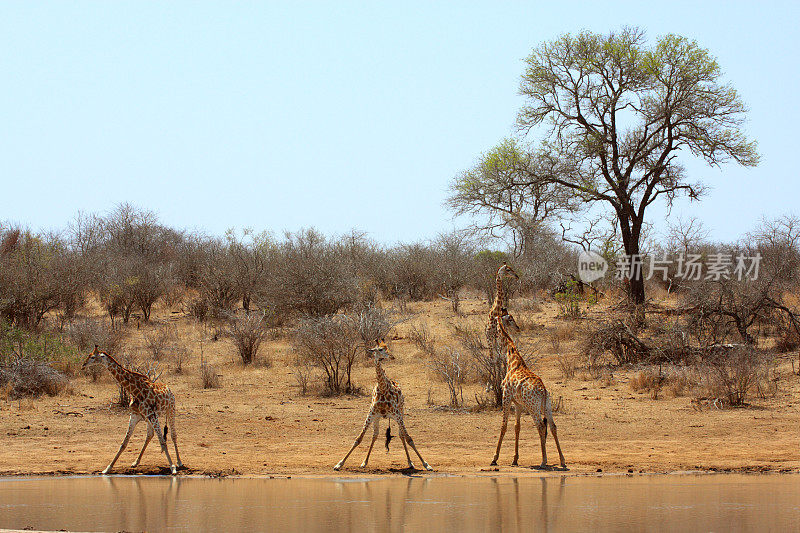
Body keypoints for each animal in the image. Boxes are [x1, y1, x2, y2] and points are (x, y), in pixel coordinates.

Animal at [83, 344, 183, 474]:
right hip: (150, 418)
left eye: (93, 357)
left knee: (173, 434)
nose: (83, 364)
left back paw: (179, 462)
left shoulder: (151, 414)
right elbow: (124, 443)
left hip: (170, 410)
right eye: (89, 355)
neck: (135, 390)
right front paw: (107, 468)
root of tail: (169, 389)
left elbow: (162, 441)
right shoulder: (135, 415)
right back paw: (136, 462)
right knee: (149, 435)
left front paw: (172, 467)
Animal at [332, 340, 432, 470]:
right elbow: (358, 439)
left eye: (387, 348)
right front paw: (339, 463)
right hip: (378, 418)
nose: (392, 356)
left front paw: (426, 464)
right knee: (375, 435)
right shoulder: (371, 414)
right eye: (379, 349)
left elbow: (409, 438)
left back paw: (410, 462)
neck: (383, 389)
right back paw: (365, 462)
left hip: (401, 412)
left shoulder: (397, 415)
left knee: (401, 435)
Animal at [490, 314, 564, 468]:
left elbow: (504, 426)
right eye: (511, 319)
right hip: (547, 406)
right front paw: (515, 459)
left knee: (541, 426)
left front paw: (494, 458)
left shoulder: (506, 396)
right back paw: (562, 460)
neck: (511, 359)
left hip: (533, 407)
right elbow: (517, 427)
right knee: (553, 426)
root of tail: (543, 391)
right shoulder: (518, 403)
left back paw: (544, 461)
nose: (518, 328)